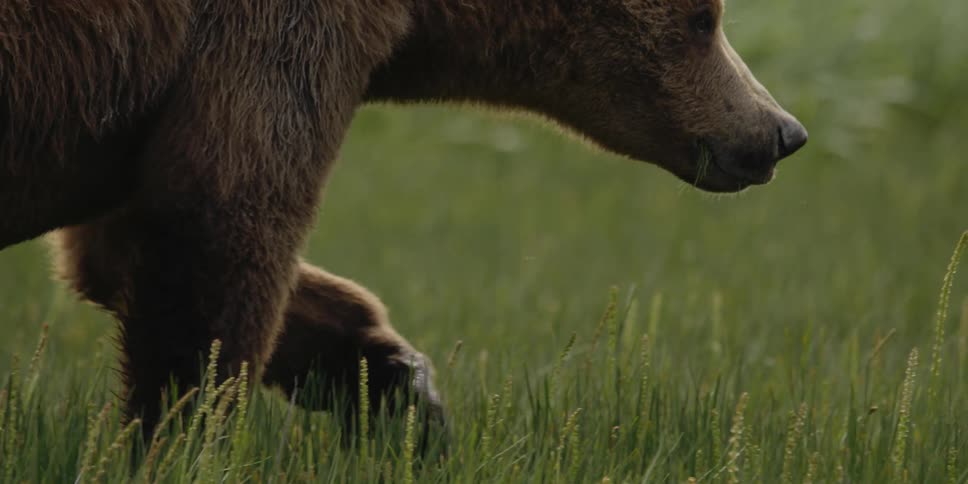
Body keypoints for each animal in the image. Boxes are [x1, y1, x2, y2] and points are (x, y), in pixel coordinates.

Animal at [1, 0, 806, 436]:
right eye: (705, 19)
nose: (781, 132)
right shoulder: (268, 37)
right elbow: (221, 221)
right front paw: (177, 434)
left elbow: (117, 249)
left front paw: (400, 392)